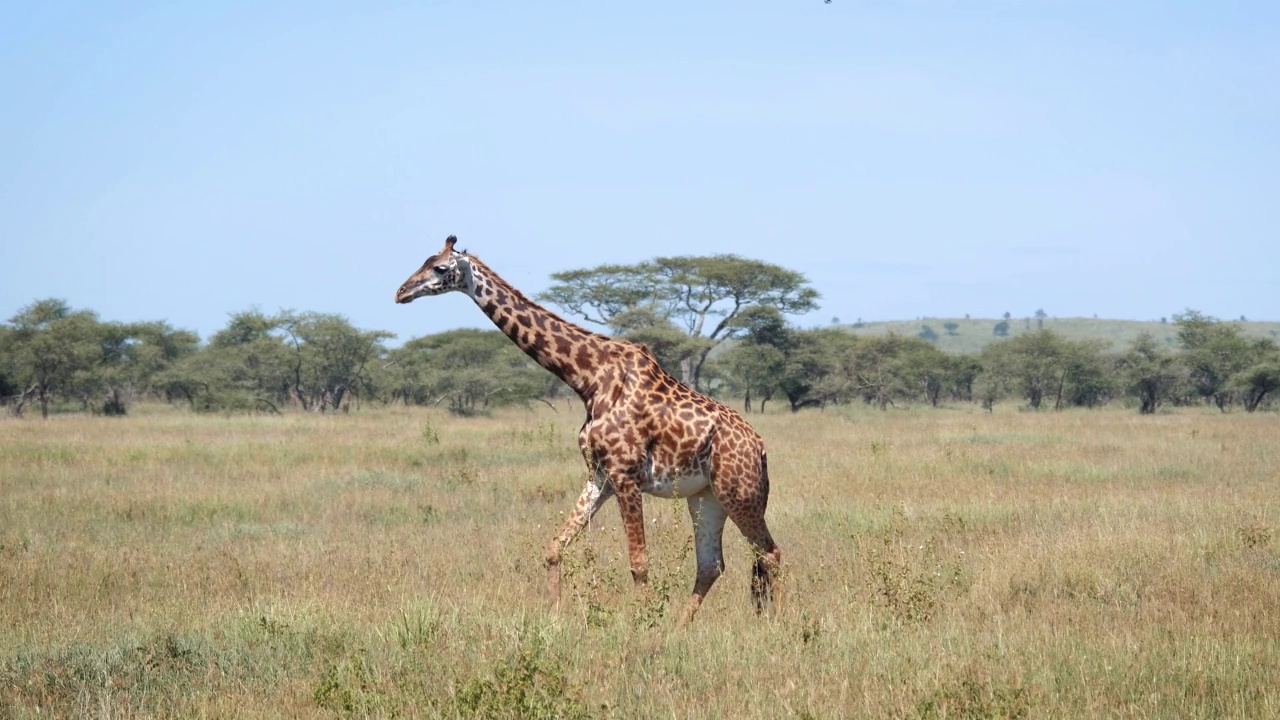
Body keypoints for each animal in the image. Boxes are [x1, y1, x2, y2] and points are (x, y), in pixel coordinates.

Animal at [396, 235, 778, 622]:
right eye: (424, 261)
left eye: (440, 268)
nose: (401, 292)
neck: (588, 379)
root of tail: (760, 449)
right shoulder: (599, 474)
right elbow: (554, 547)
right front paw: (553, 619)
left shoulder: (626, 475)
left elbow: (639, 563)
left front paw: (644, 626)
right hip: (705, 496)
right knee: (712, 564)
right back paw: (680, 626)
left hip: (738, 492)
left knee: (768, 553)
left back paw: (770, 622)